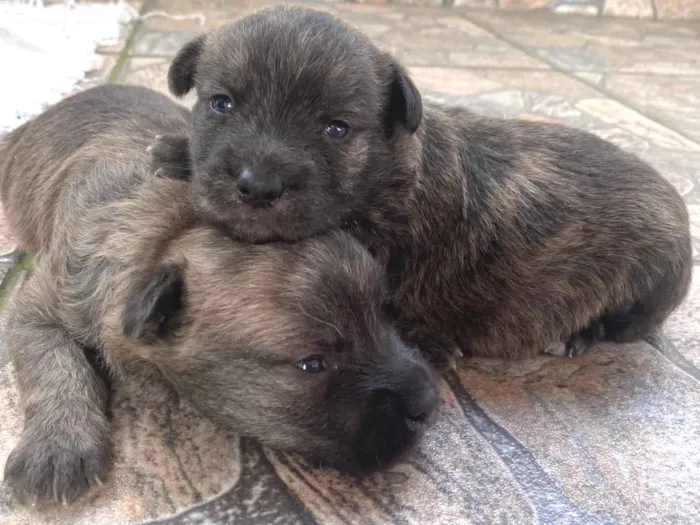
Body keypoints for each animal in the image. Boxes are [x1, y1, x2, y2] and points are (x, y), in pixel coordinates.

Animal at [0, 85, 438, 504]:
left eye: (382, 310)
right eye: (311, 365)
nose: (428, 400)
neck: (171, 231)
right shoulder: (43, 300)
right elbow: (53, 362)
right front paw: (58, 447)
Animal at [153, 5, 696, 364]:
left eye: (336, 129)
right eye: (221, 104)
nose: (258, 186)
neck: (387, 167)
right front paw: (175, 152)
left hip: (651, 278)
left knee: (627, 326)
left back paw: (575, 335)